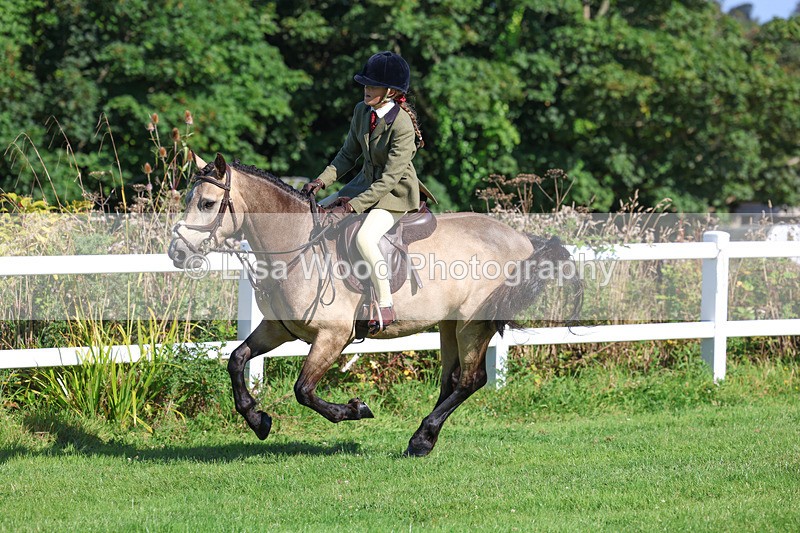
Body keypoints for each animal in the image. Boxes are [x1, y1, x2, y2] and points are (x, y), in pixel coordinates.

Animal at [168, 153, 581, 456]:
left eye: (207, 203)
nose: (177, 253)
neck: (299, 246)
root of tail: (522, 238)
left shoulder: (333, 336)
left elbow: (304, 390)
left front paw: (354, 409)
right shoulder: (277, 329)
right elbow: (236, 360)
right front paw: (258, 420)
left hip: (472, 323)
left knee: (470, 379)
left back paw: (420, 439)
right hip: (449, 324)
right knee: (452, 380)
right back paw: (424, 438)